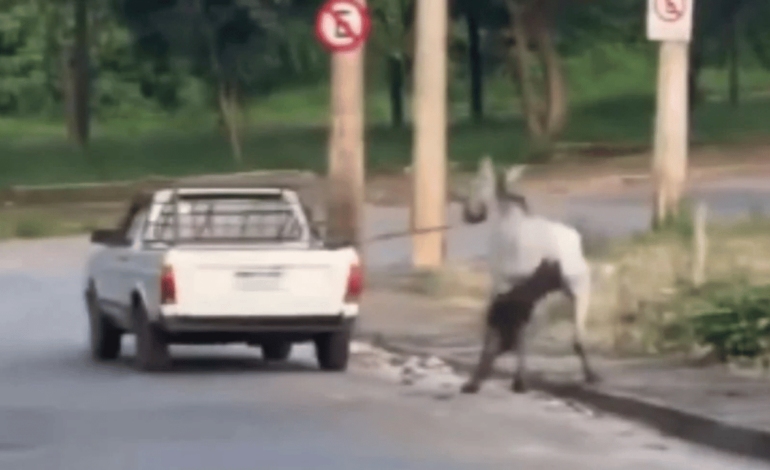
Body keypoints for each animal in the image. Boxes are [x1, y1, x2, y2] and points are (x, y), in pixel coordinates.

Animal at [460, 157, 596, 392]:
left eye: (477, 181)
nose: (470, 214)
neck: (508, 214)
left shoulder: (500, 285)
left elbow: (491, 331)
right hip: (579, 288)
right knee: (578, 335)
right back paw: (589, 374)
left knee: (523, 333)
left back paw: (518, 380)